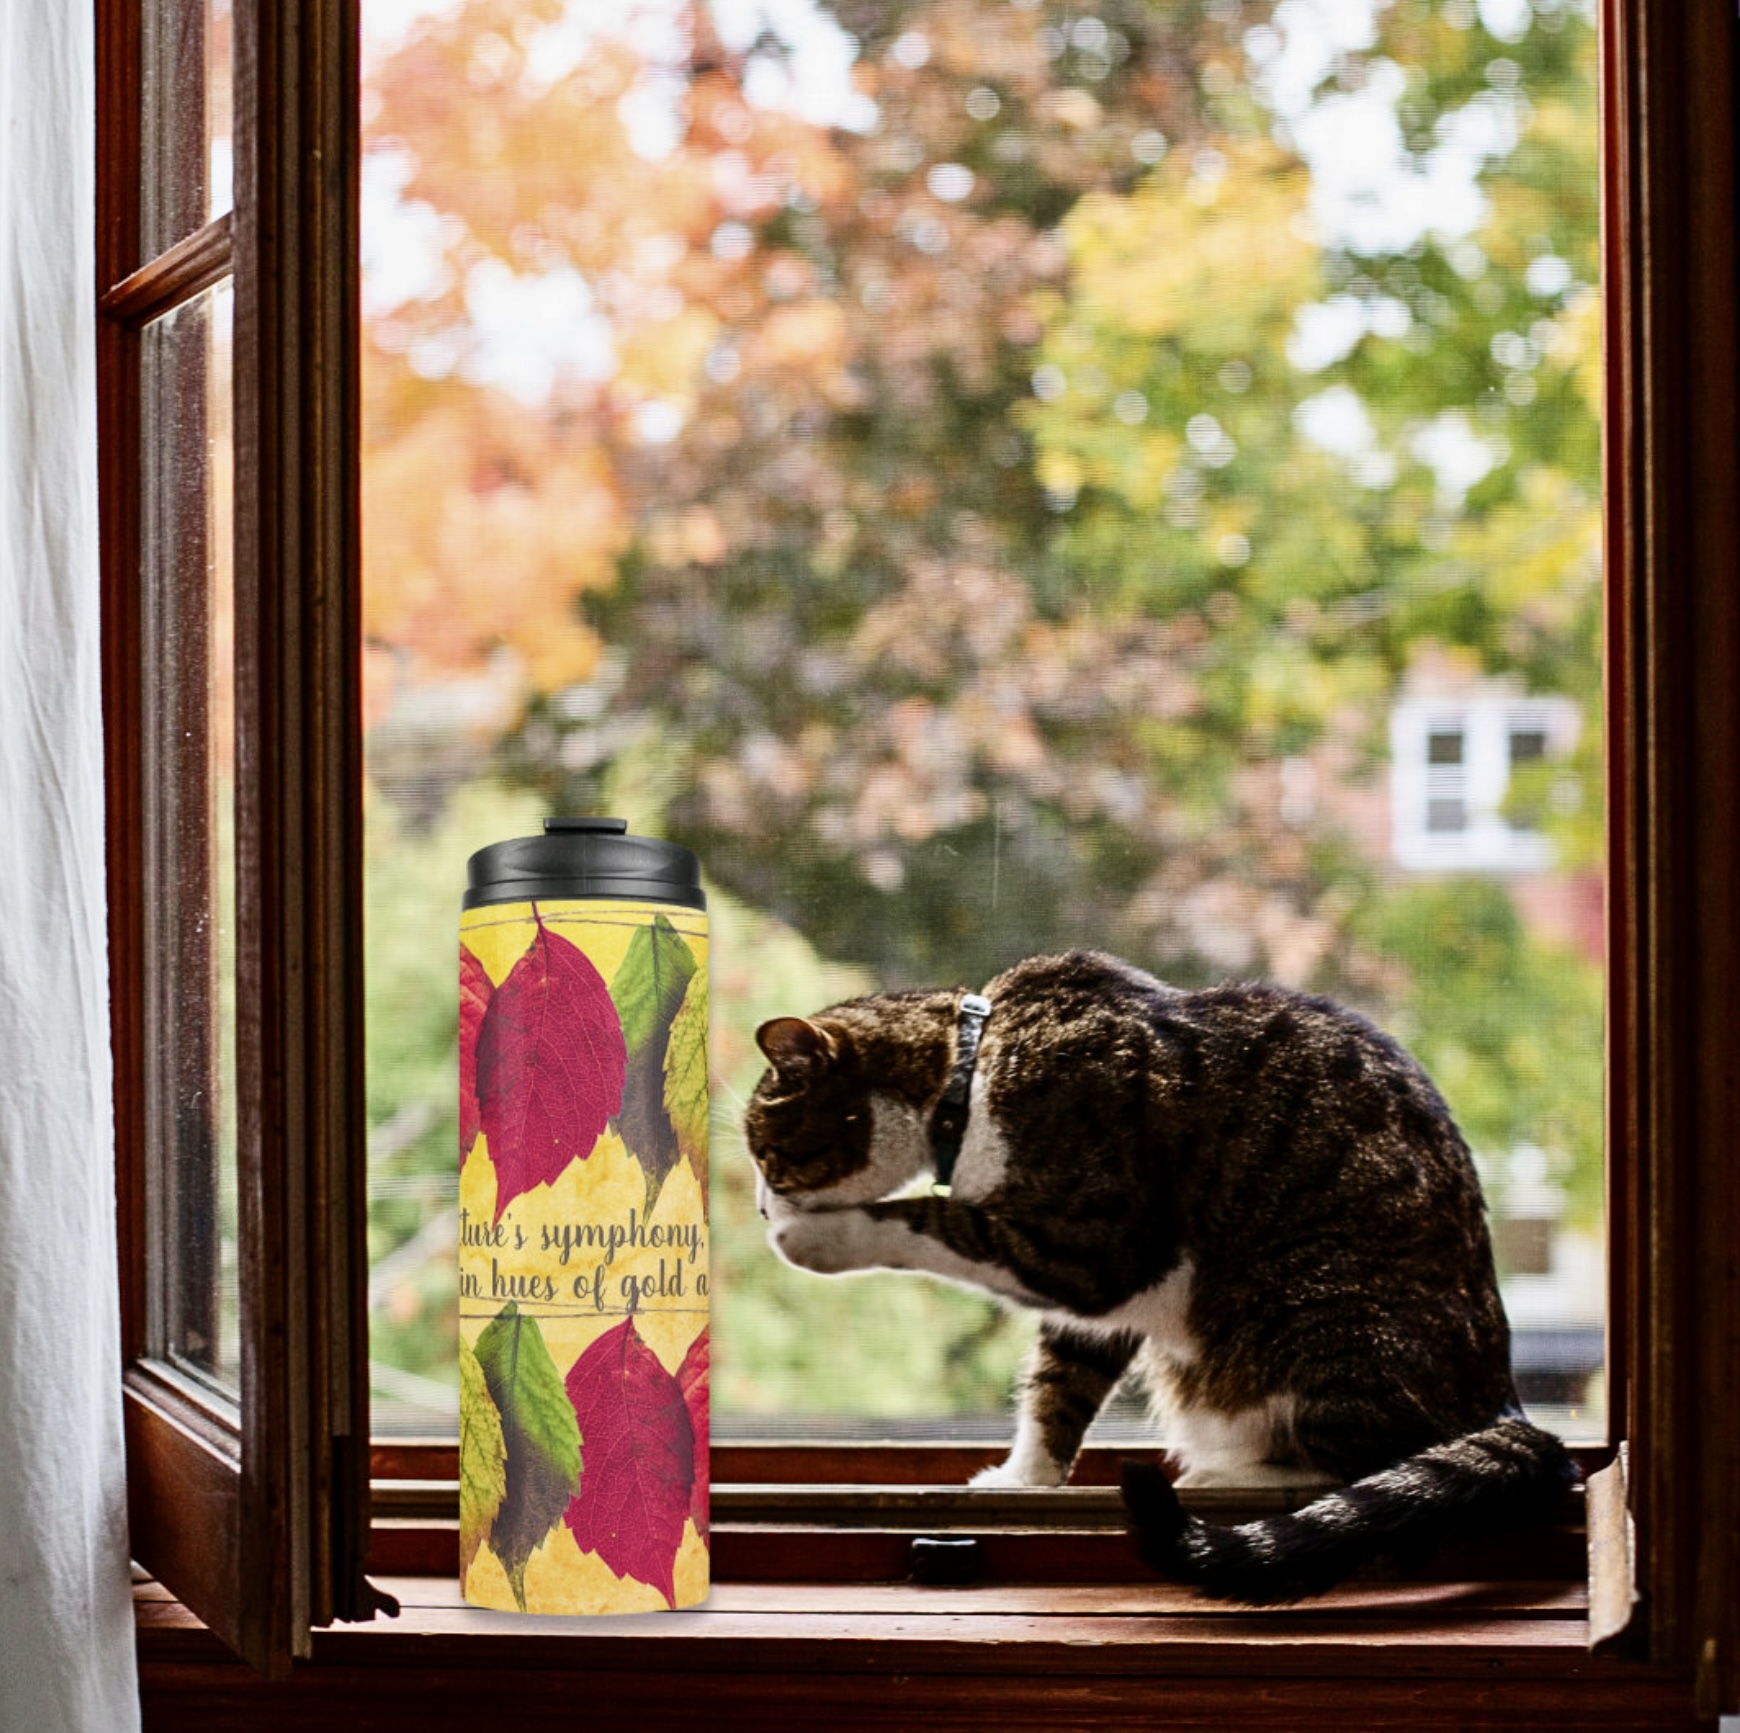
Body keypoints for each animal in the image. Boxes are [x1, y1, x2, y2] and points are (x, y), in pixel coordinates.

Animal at [748, 946, 1579, 1600]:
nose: (758, 1207)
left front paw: (817, 1236)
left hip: (1318, 1313)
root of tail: (1502, 1404)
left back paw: (1230, 1477)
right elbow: (1057, 1386)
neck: (976, 1065)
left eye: (766, 1153)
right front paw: (1026, 1480)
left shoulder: (1092, 1245)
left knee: (1366, 1459)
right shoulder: (1091, 1300)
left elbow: (933, 1219)